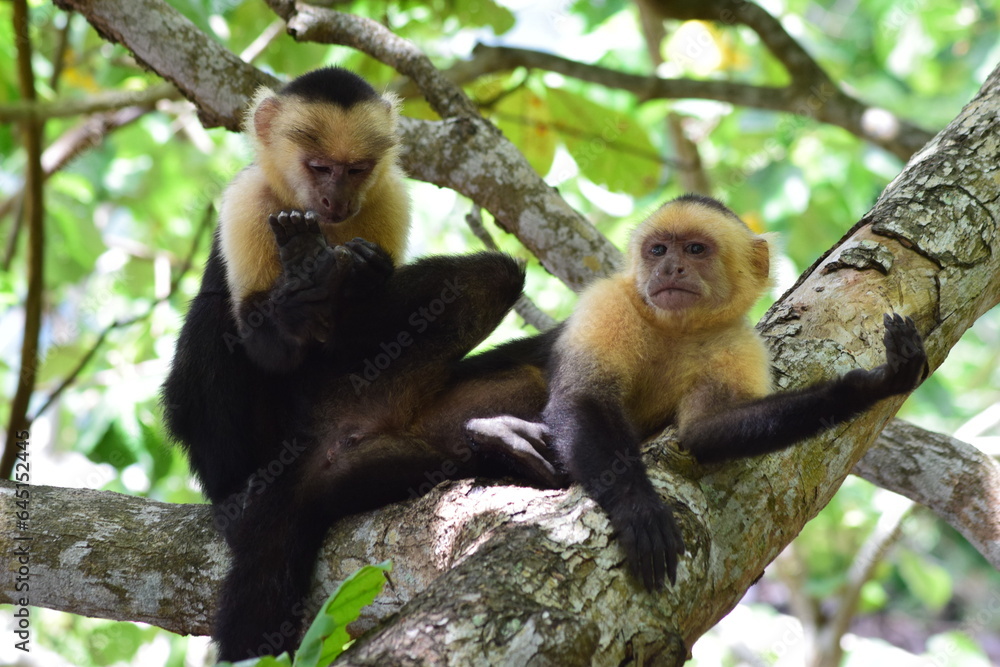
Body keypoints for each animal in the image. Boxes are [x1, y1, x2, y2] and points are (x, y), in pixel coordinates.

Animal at [471, 194, 928, 591]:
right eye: (658, 250)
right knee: (502, 284)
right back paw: (497, 436)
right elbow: (584, 399)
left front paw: (871, 385)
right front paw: (638, 506)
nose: (670, 268)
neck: (677, 328)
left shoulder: (736, 344)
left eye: (694, 249)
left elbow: (707, 431)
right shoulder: (609, 303)